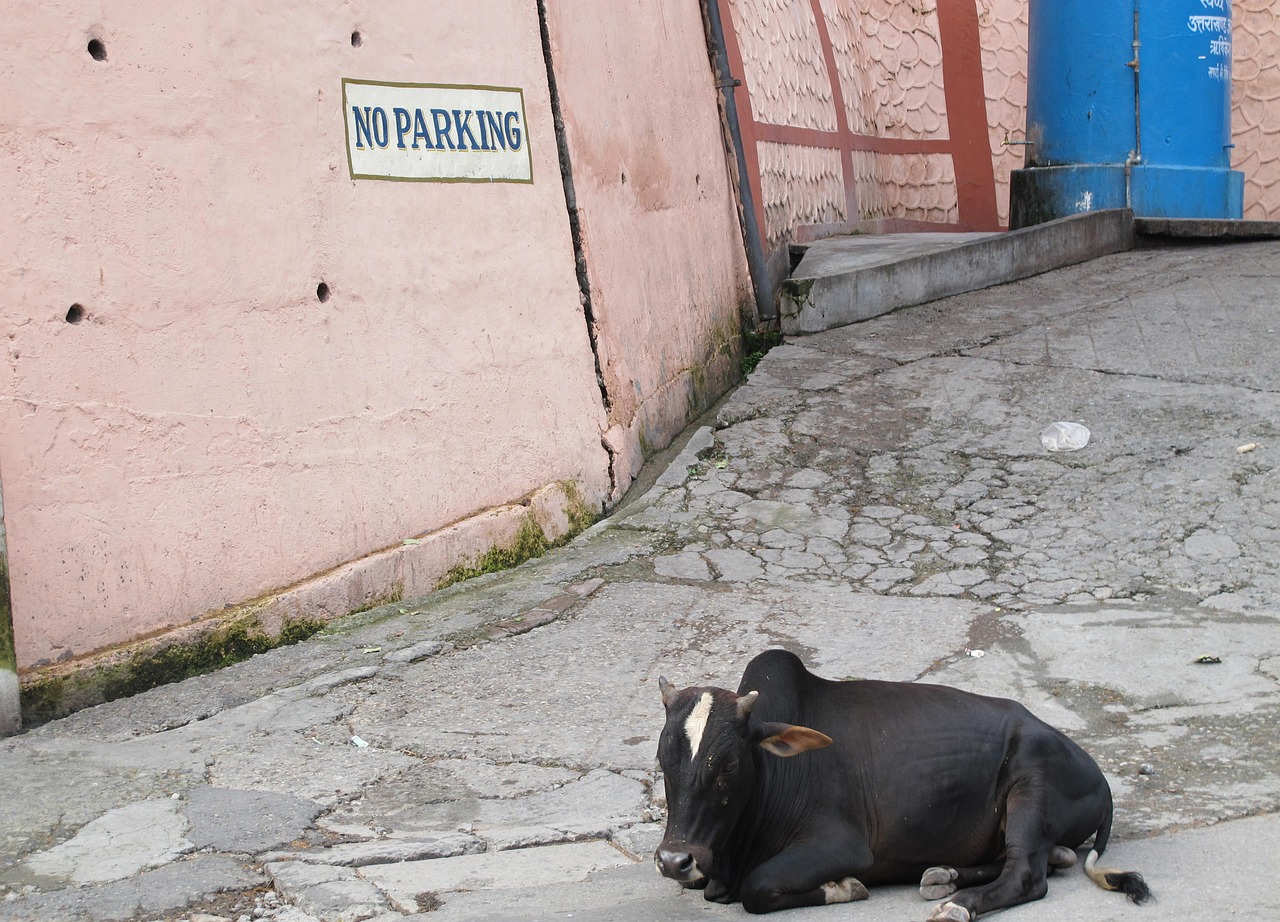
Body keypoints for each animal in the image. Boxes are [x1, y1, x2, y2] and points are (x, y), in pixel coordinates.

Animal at [650, 653, 1152, 916]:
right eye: (662, 758)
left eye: (729, 765)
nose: (674, 860)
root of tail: (1100, 777)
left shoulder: (841, 844)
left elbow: (758, 888)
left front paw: (844, 887)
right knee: (1041, 860)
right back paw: (943, 877)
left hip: (1032, 788)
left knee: (1027, 874)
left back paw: (958, 904)